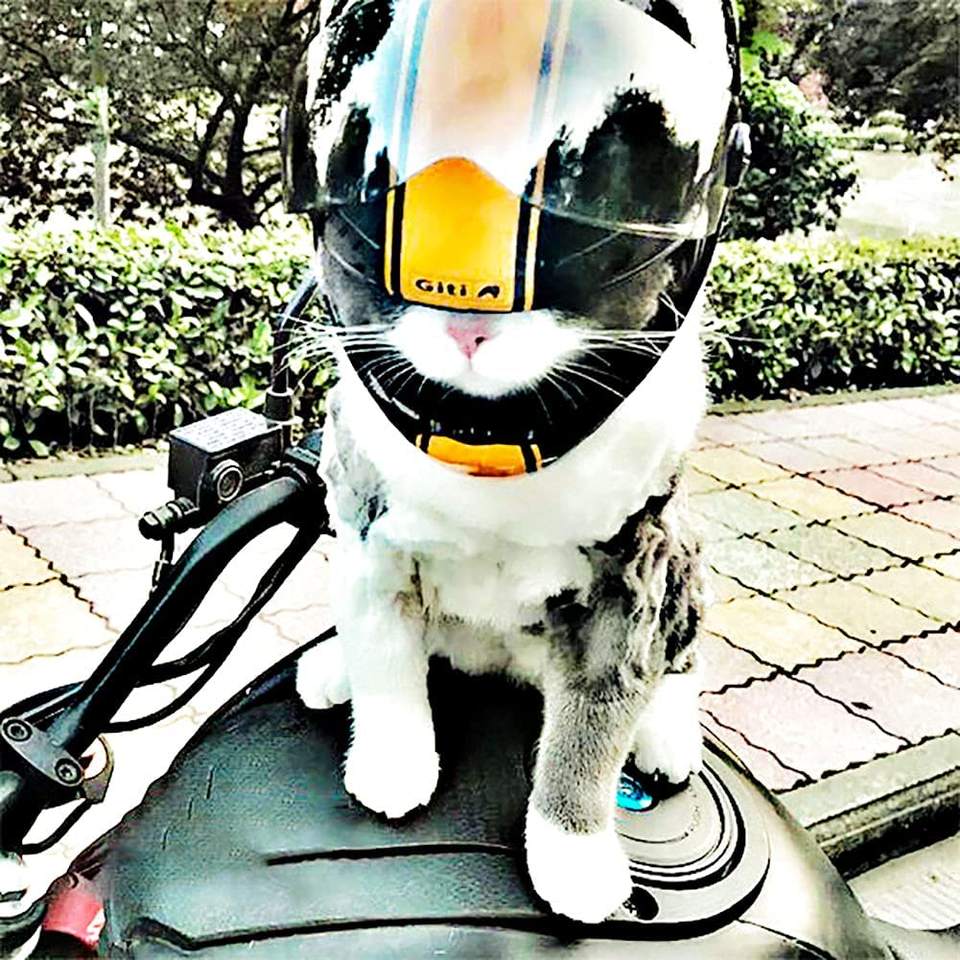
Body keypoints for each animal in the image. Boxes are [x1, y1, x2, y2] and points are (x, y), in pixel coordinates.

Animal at [295, 241, 708, 924]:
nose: (468, 327)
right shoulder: (368, 533)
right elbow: (384, 663)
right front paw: (392, 762)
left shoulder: (628, 579)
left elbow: (594, 722)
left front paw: (574, 854)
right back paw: (332, 667)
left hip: (685, 555)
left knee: (678, 655)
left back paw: (667, 731)